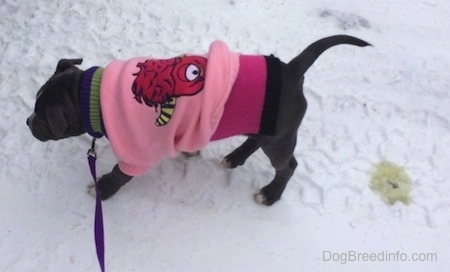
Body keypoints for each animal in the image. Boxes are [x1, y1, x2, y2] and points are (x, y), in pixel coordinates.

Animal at [28, 36, 370, 206]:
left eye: (42, 118)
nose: (29, 123)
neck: (92, 96)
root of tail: (291, 70)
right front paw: (190, 150)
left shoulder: (140, 151)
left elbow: (120, 173)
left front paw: (103, 189)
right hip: (264, 125)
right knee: (254, 139)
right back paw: (235, 157)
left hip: (280, 138)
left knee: (288, 165)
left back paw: (270, 194)